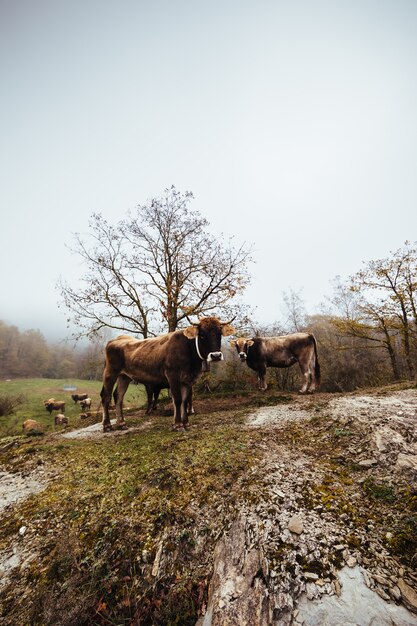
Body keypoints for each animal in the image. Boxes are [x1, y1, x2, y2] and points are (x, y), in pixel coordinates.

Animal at [99, 314, 232, 432]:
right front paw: (178, 425)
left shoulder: (188, 379)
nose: (216, 355)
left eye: (219, 334)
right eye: (202, 335)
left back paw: (122, 423)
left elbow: (185, 400)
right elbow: (177, 400)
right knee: (106, 396)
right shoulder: (172, 376)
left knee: (118, 396)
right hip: (110, 372)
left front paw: (186, 423)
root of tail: (116, 340)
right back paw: (107, 425)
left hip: (124, 376)